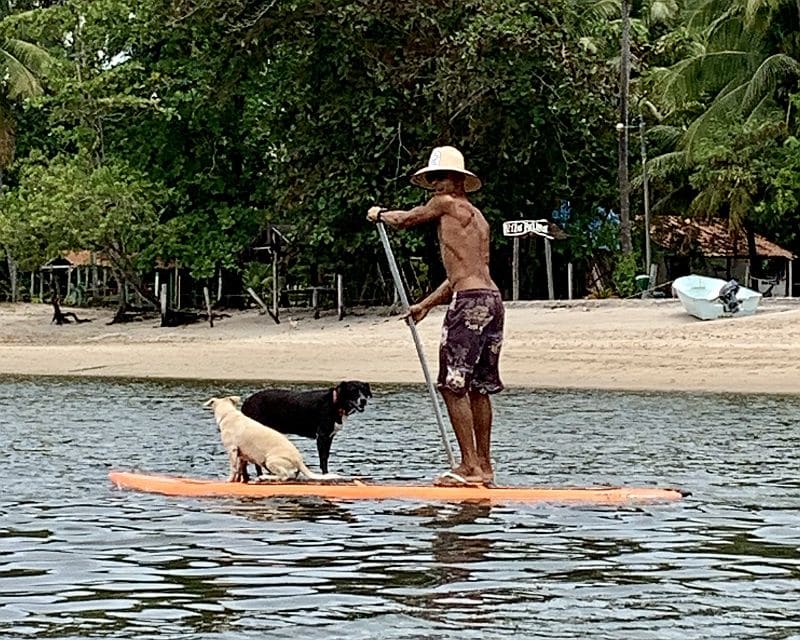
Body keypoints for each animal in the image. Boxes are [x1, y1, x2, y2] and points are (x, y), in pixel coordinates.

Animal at [205, 396, 340, 480]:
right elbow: (240, 469)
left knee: (284, 476)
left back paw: (264, 477)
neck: (228, 414)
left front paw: (229, 480)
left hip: (270, 461)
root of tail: (300, 461)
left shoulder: (232, 450)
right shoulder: (241, 455)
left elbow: (233, 469)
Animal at [241, 380, 372, 476]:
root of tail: (247, 400)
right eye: (353, 391)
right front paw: (325, 475)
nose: (363, 401)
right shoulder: (322, 436)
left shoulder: (329, 437)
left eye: (364, 391)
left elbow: (326, 457)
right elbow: (323, 459)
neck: (335, 403)